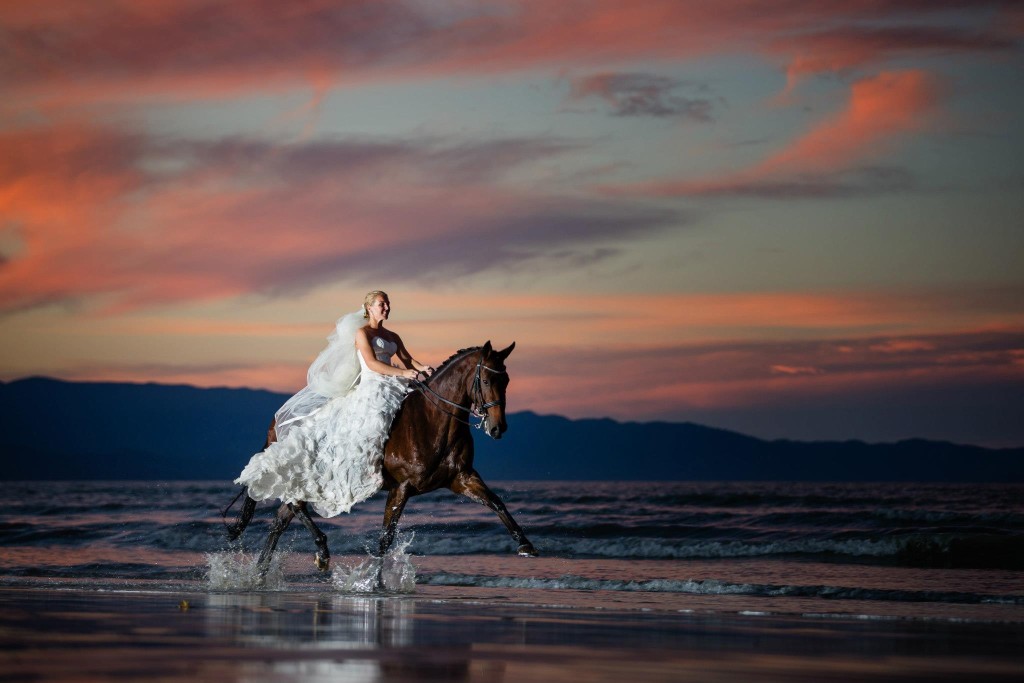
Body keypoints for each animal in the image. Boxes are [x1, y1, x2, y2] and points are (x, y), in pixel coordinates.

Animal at [223, 339, 536, 581]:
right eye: (486, 380)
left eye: (507, 380)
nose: (498, 428)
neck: (434, 420)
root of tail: (276, 423)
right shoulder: (402, 487)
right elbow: (386, 538)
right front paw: (375, 582)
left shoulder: (462, 478)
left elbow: (496, 502)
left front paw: (526, 545)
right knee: (293, 507)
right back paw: (320, 552)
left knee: (282, 518)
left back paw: (261, 574)